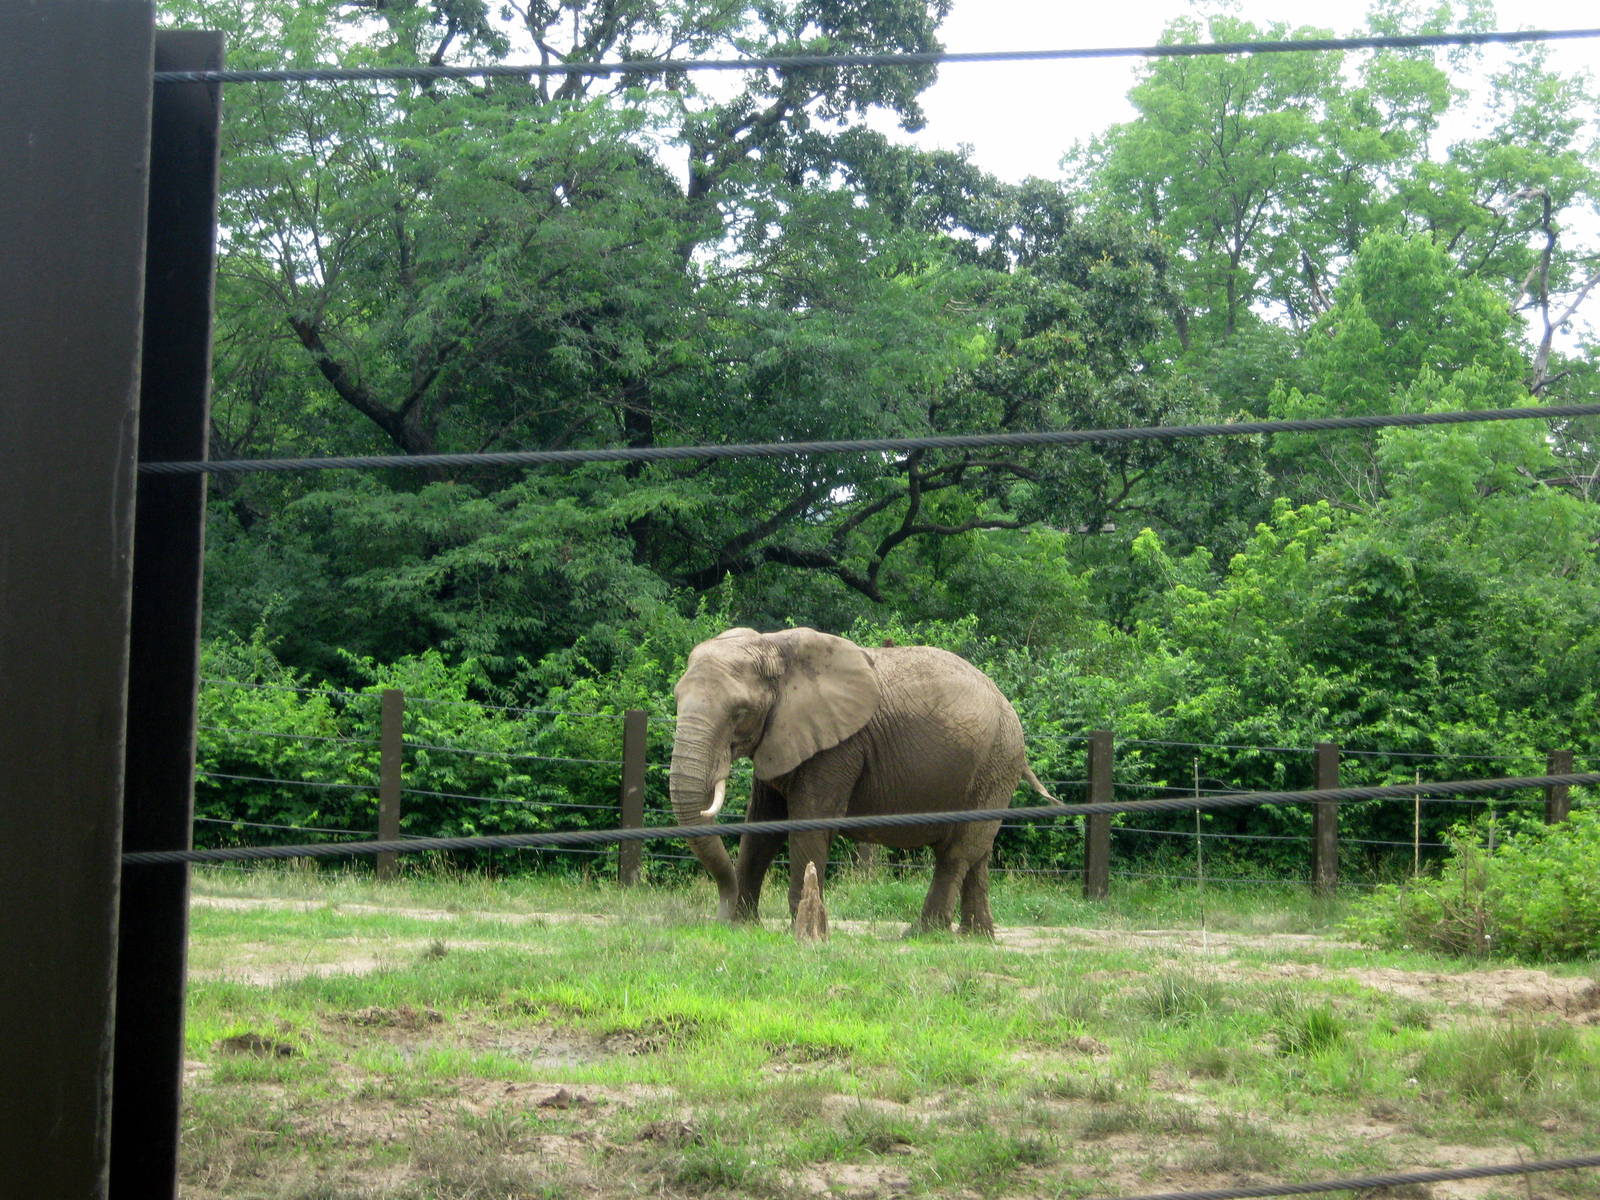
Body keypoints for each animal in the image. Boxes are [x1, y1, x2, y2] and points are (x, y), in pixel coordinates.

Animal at [668, 626, 1052, 936]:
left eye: (740, 713)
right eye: (676, 698)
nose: (720, 911)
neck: (773, 646)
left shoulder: (839, 747)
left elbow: (808, 823)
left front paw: (802, 933)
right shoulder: (779, 737)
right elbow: (762, 827)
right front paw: (743, 927)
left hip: (997, 761)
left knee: (957, 853)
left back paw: (923, 934)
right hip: (993, 766)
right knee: (978, 851)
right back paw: (978, 936)